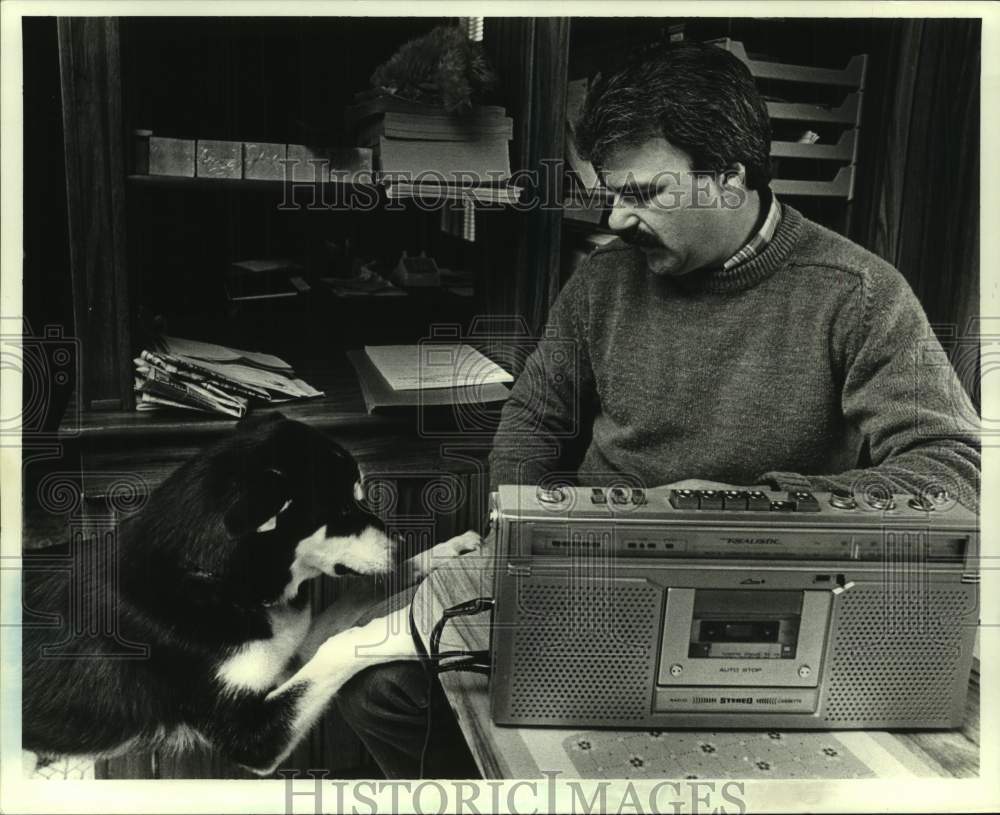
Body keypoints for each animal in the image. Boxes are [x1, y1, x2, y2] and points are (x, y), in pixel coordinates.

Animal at [20, 418, 480, 776]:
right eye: (342, 512)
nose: (400, 546)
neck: (218, 582)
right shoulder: (249, 733)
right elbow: (340, 643)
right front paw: (403, 624)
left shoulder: (287, 654)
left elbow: (355, 603)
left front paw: (445, 553)